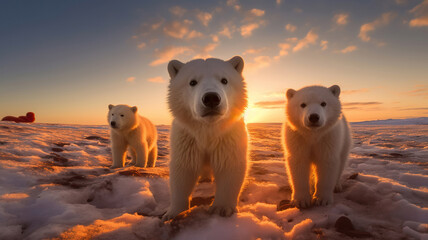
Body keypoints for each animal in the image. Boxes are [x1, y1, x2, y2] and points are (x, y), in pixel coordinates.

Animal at [162, 55, 249, 219]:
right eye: (192, 82)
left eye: (224, 80)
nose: (211, 98)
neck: (208, 131)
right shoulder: (187, 139)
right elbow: (183, 169)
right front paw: (173, 212)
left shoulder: (229, 137)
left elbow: (229, 165)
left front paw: (221, 209)